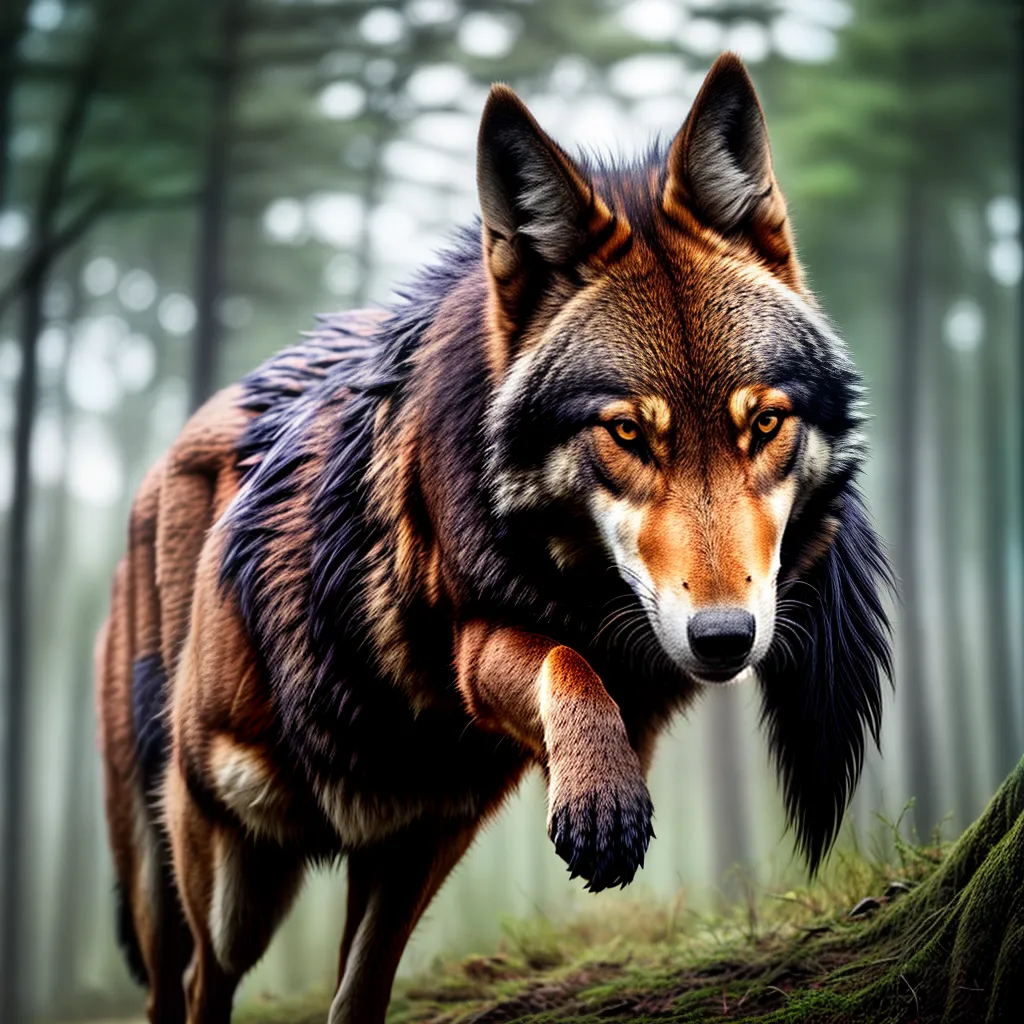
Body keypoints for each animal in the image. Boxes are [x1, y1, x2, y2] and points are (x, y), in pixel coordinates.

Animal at [96, 53, 892, 1024]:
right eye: (626, 433)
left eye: (765, 424)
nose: (726, 638)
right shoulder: (476, 639)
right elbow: (564, 660)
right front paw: (602, 804)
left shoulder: (449, 804)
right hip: (214, 860)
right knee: (188, 982)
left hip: (398, 846)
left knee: (346, 982)